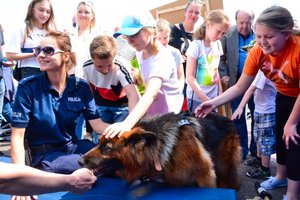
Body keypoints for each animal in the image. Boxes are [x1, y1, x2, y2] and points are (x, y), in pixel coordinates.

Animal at [78, 112, 241, 189]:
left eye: (107, 147)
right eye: (98, 142)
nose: (79, 161)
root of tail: (228, 119)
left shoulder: (205, 176)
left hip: (224, 165)